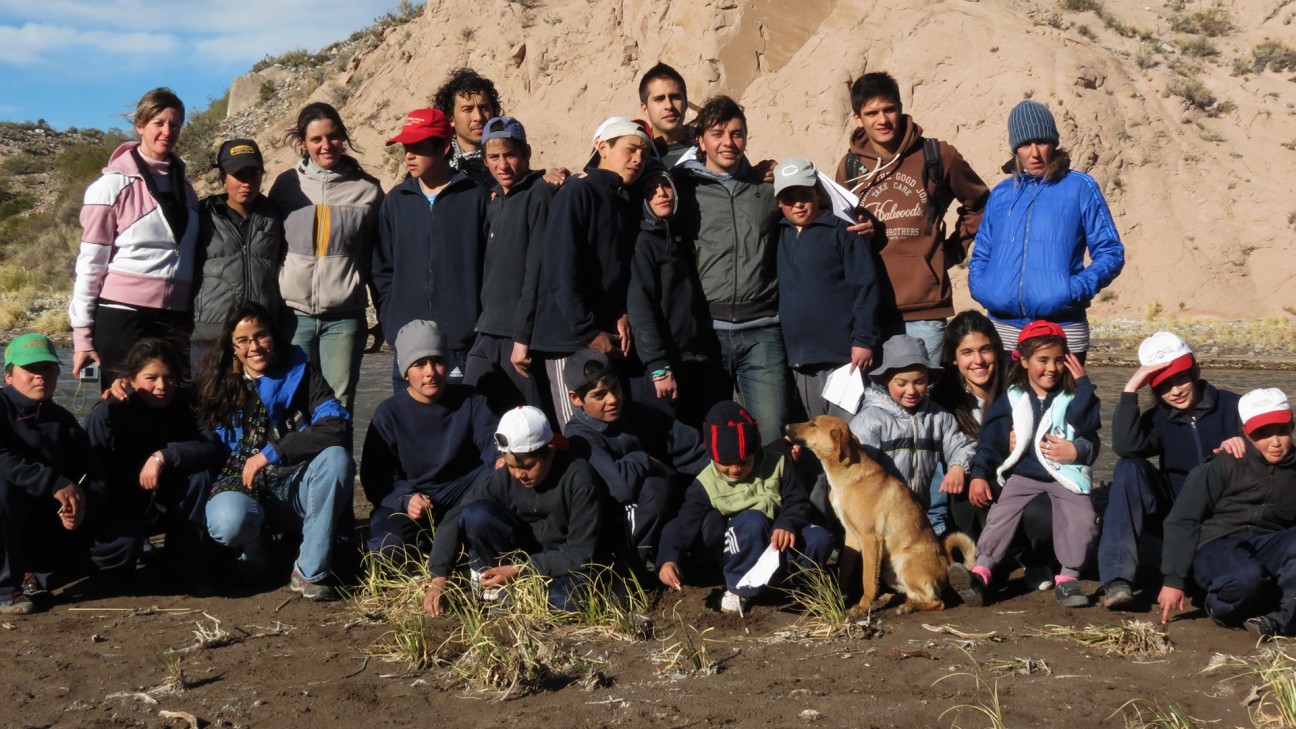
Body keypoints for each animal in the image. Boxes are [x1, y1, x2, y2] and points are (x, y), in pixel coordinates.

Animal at [777, 415, 974, 612]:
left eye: (813, 424)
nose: (785, 427)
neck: (848, 476)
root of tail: (947, 567)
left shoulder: (870, 539)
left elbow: (867, 578)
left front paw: (863, 607)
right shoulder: (851, 536)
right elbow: (845, 568)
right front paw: (842, 597)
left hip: (905, 563)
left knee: (937, 602)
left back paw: (906, 607)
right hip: (889, 569)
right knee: (911, 595)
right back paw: (892, 599)